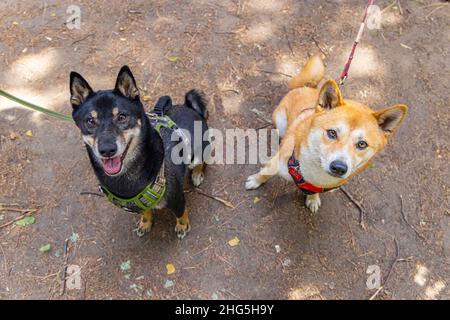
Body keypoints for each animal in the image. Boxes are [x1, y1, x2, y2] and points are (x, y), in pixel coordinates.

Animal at [70, 66, 209, 239]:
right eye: (90, 121)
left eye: (122, 117)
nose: (107, 150)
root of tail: (189, 107)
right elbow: (146, 212)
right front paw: (145, 223)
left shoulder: (177, 198)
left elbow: (181, 213)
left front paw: (182, 226)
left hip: (197, 154)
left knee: (202, 162)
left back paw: (197, 174)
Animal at [246, 55, 408, 212]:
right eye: (332, 133)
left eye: (362, 144)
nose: (339, 167)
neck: (315, 174)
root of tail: (308, 87)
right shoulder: (276, 163)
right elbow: (265, 173)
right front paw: (255, 181)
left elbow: (314, 193)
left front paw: (313, 199)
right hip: (280, 121)